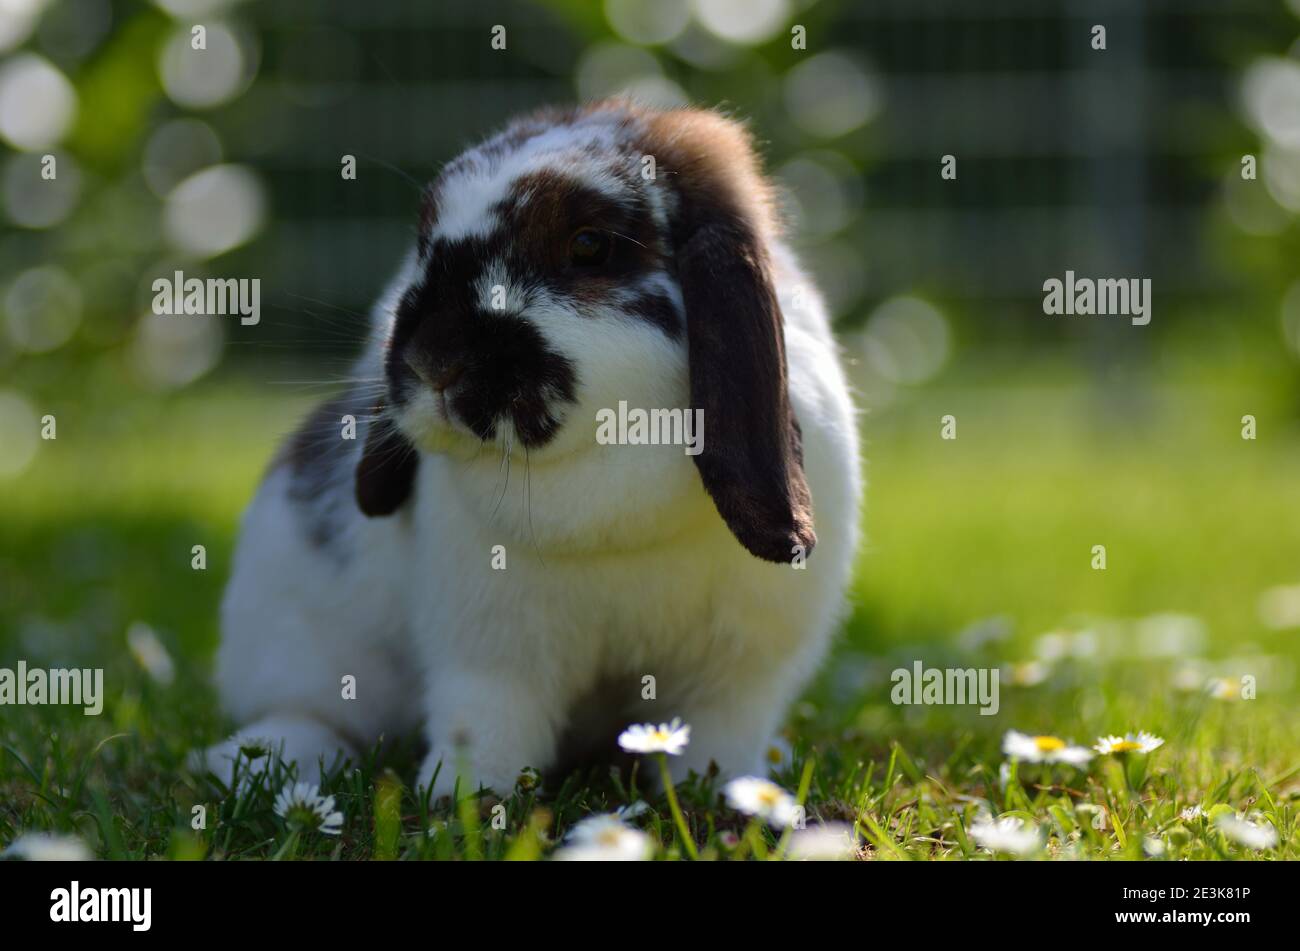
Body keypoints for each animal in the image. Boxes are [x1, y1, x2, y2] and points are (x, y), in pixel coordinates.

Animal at [202, 100, 863, 800]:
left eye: (589, 245)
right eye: (424, 244)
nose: (432, 361)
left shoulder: (739, 675)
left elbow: (719, 737)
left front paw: (722, 795)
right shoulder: (489, 653)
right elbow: (487, 717)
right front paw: (463, 795)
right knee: (310, 711)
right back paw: (263, 759)